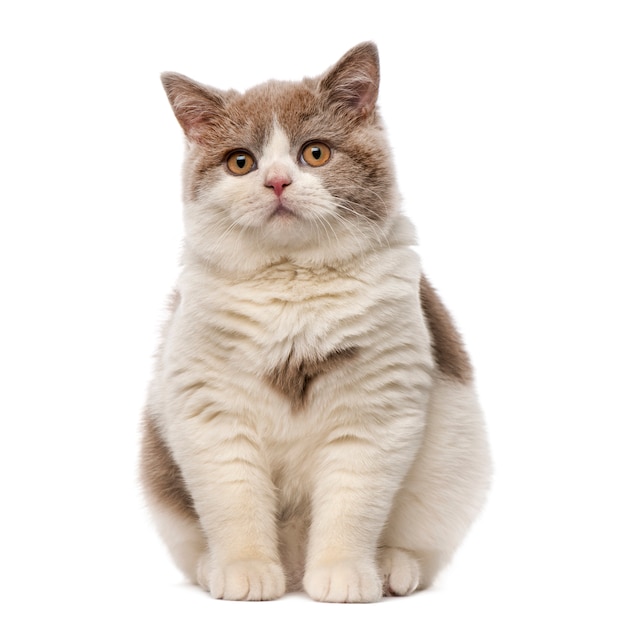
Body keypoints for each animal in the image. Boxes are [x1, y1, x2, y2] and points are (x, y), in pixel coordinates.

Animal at [141, 40, 490, 600]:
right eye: (241, 162)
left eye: (316, 153)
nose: (277, 181)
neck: (292, 285)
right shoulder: (210, 411)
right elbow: (234, 502)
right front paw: (244, 570)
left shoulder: (374, 413)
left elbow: (351, 506)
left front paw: (345, 575)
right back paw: (216, 567)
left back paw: (391, 567)